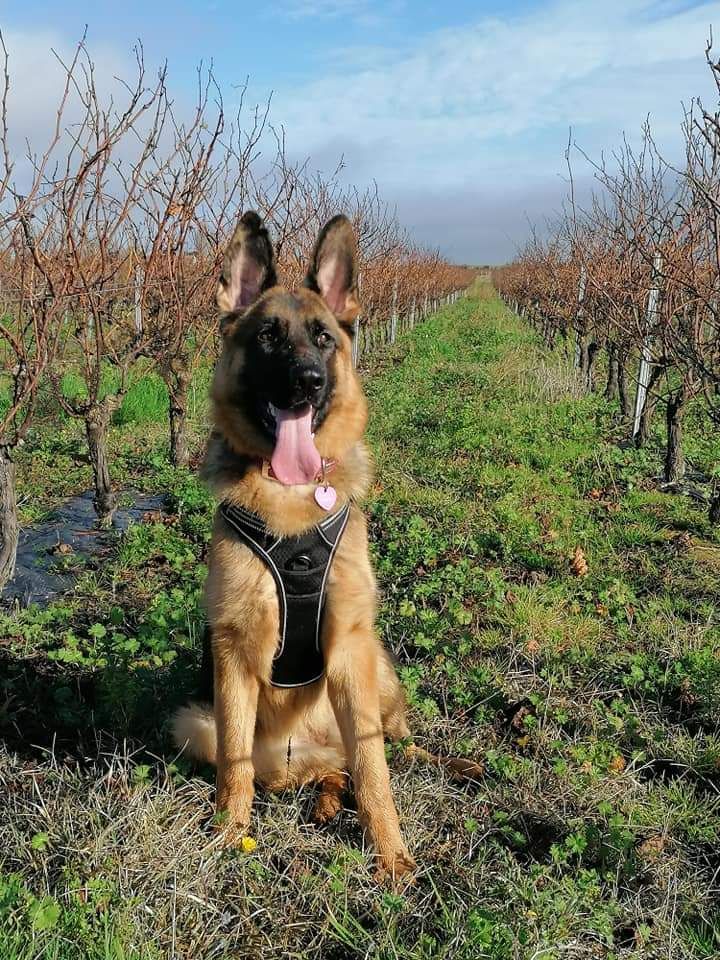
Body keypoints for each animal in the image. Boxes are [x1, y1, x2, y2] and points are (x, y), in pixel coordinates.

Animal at [172, 210, 420, 876]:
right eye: (267, 338)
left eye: (323, 339)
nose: (307, 381)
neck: (291, 505)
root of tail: (300, 753)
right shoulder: (232, 651)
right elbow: (234, 764)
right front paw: (230, 835)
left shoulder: (352, 648)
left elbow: (374, 768)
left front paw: (391, 854)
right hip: (194, 721)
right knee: (290, 769)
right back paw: (321, 797)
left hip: (378, 667)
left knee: (373, 747)